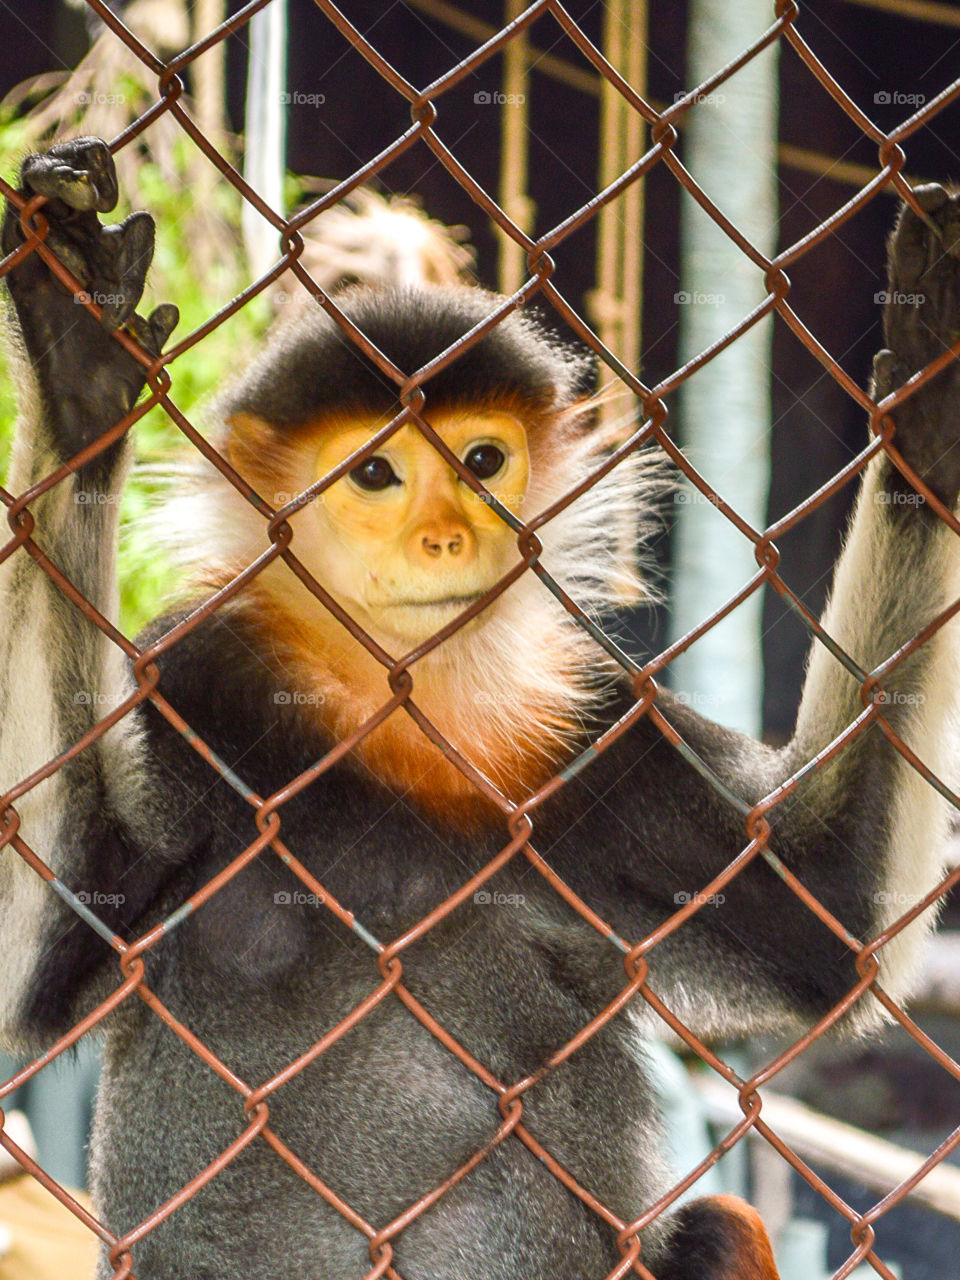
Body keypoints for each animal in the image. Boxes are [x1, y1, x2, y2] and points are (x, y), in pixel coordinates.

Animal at [1, 137, 959, 1280]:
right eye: (377, 472)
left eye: (482, 460)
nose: (450, 536)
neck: (394, 702)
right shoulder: (194, 675)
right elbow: (45, 947)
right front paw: (75, 382)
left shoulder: (591, 723)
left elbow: (833, 910)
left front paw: (938, 395)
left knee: (726, 1220)